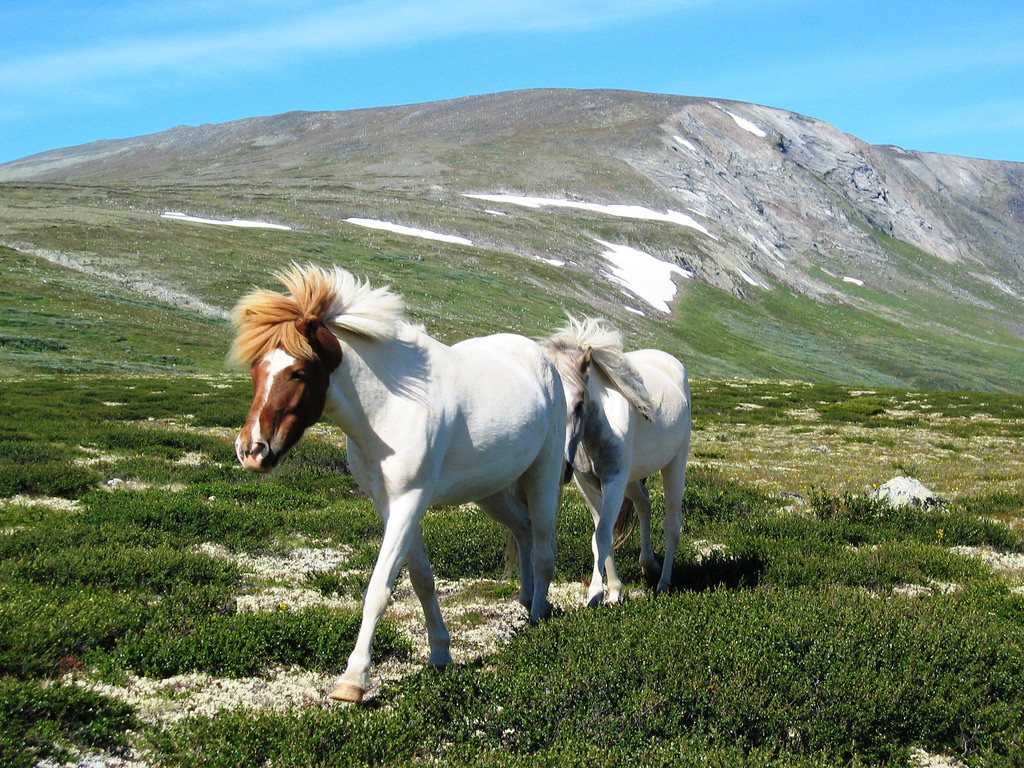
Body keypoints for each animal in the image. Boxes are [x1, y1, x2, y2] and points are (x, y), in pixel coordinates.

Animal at [232, 266, 569, 704]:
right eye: (255, 369)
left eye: (299, 372)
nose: (252, 451)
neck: (390, 405)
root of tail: (540, 358)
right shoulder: (389, 504)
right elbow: (422, 579)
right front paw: (440, 653)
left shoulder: (410, 501)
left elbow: (380, 588)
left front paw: (353, 680)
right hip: (492, 491)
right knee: (524, 531)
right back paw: (526, 602)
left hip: (542, 475)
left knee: (544, 547)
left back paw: (537, 617)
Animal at [540, 317, 692, 606]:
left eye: (579, 402)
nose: (561, 466)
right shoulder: (588, 485)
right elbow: (604, 535)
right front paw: (613, 592)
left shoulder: (613, 481)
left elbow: (602, 535)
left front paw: (595, 593)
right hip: (632, 478)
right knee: (644, 504)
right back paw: (649, 565)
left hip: (674, 464)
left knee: (672, 525)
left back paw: (664, 583)